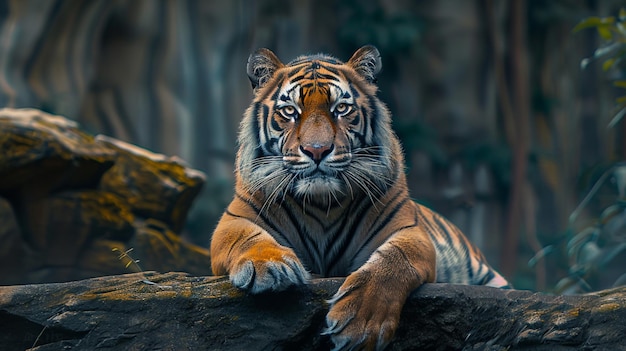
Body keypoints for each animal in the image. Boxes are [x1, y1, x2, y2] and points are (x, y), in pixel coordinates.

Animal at [210, 45, 508, 350]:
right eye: (290, 111)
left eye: (341, 109)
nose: (317, 150)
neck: (322, 202)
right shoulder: (233, 220)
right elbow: (247, 237)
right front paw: (270, 267)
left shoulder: (409, 231)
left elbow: (394, 261)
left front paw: (362, 324)